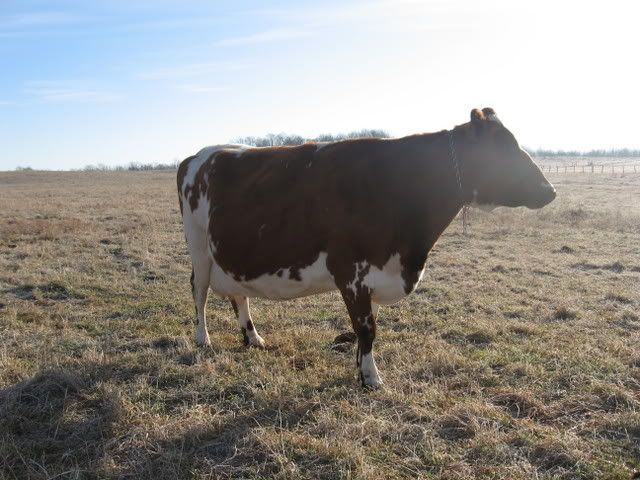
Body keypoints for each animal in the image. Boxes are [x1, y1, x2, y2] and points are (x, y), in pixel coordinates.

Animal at [176, 108, 556, 387]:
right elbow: (367, 328)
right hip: (197, 244)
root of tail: (198, 154)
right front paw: (372, 379)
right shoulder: (351, 273)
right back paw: (203, 339)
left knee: (238, 294)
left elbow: (367, 328)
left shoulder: (376, 274)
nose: (550, 190)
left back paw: (253, 337)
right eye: (503, 149)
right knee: (198, 290)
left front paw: (361, 367)